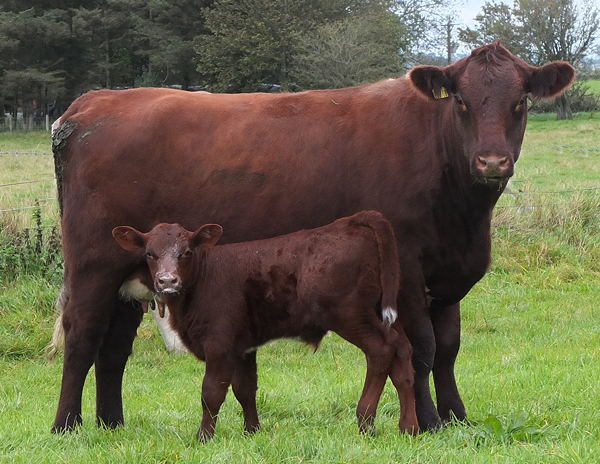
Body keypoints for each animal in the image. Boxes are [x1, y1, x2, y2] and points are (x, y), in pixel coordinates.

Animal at [111, 212, 418, 440]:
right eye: (150, 254)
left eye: (186, 252)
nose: (167, 280)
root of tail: (351, 221)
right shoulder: (243, 346)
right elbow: (245, 388)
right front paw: (252, 431)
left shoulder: (219, 343)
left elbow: (211, 392)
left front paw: (203, 437)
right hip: (381, 314)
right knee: (402, 351)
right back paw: (409, 428)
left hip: (349, 314)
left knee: (381, 350)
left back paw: (366, 422)